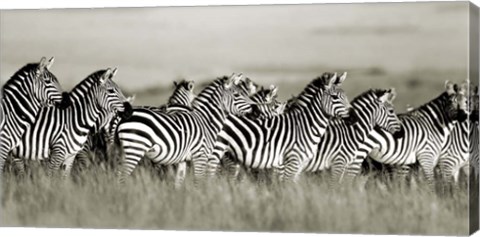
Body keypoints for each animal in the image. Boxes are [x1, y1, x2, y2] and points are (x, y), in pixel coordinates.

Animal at [115, 73, 255, 184]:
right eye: (237, 95)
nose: (256, 110)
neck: (206, 120)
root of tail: (123, 117)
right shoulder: (200, 156)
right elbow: (198, 182)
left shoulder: (182, 160)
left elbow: (179, 182)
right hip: (134, 149)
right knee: (122, 177)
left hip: (123, 151)